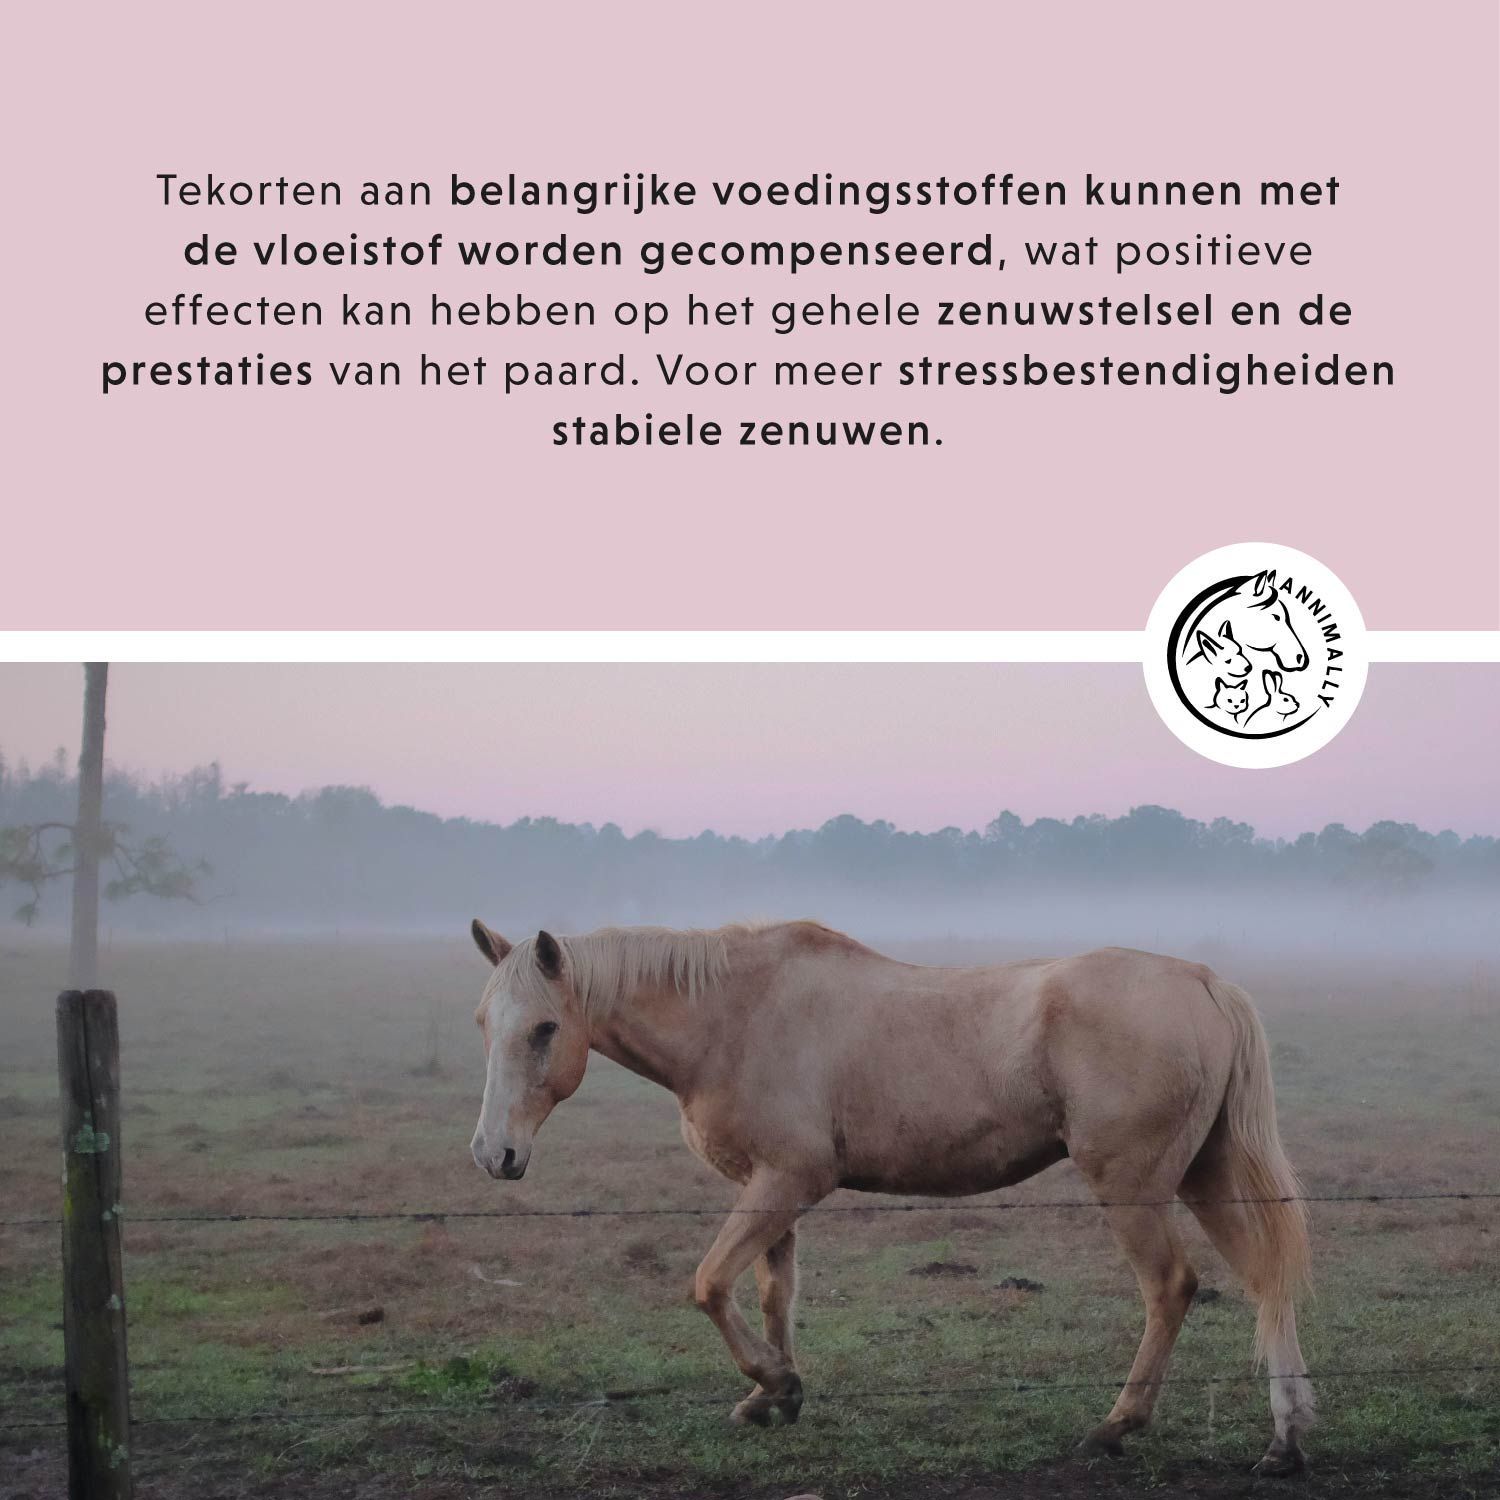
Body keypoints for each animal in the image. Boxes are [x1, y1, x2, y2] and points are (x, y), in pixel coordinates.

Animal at [467, 918, 1315, 1474]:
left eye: (545, 1028)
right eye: (483, 1023)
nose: (493, 1154)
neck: (736, 1016)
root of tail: (1203, 981)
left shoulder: (787, 1183)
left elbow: (709, 1285)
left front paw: (775, 1385)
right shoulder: (770, 1191)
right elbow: (772, 1296)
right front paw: (774, 1396)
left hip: (1134, 1189)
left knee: (1171, 1288)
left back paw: (1117, 1426)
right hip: (1205, 1177)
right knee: (1266, 1281)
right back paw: (1285, 1438)